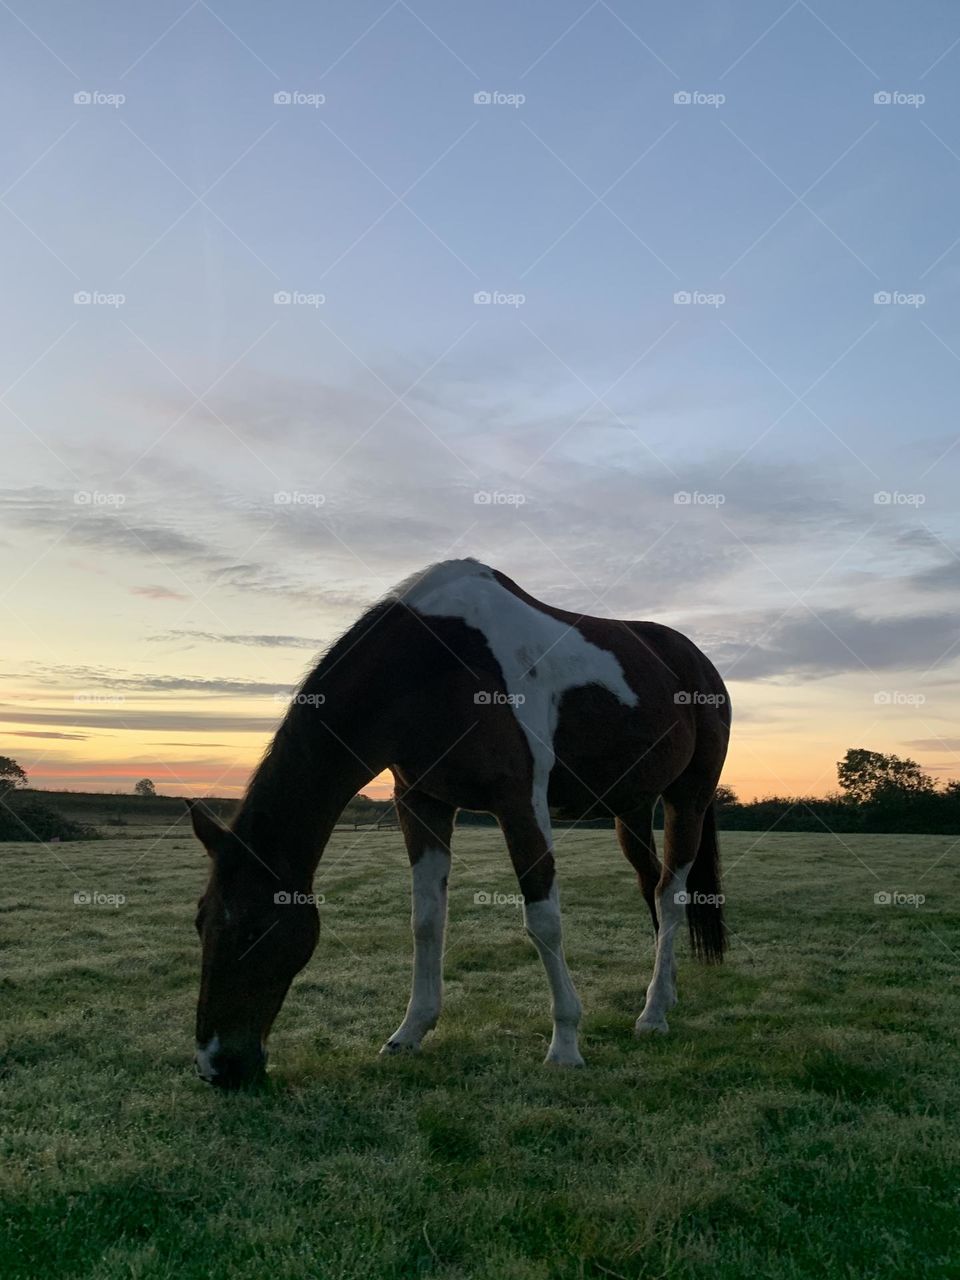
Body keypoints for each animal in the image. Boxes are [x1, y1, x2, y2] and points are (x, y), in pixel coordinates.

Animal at [185, 555, 727, 1085]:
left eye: (257, 931)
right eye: (200, 923)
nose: (218, 1066)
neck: (437, 667)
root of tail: (698, 663)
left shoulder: (520, 803)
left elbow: (544, 921)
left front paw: (565, 1045)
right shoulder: (422, 802)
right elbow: (427, 920)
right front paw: (409, 1032)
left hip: (688, 798)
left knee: (670, 894)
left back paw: (653, 1015)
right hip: (630, 808)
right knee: (651, 886)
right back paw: (666, 994)